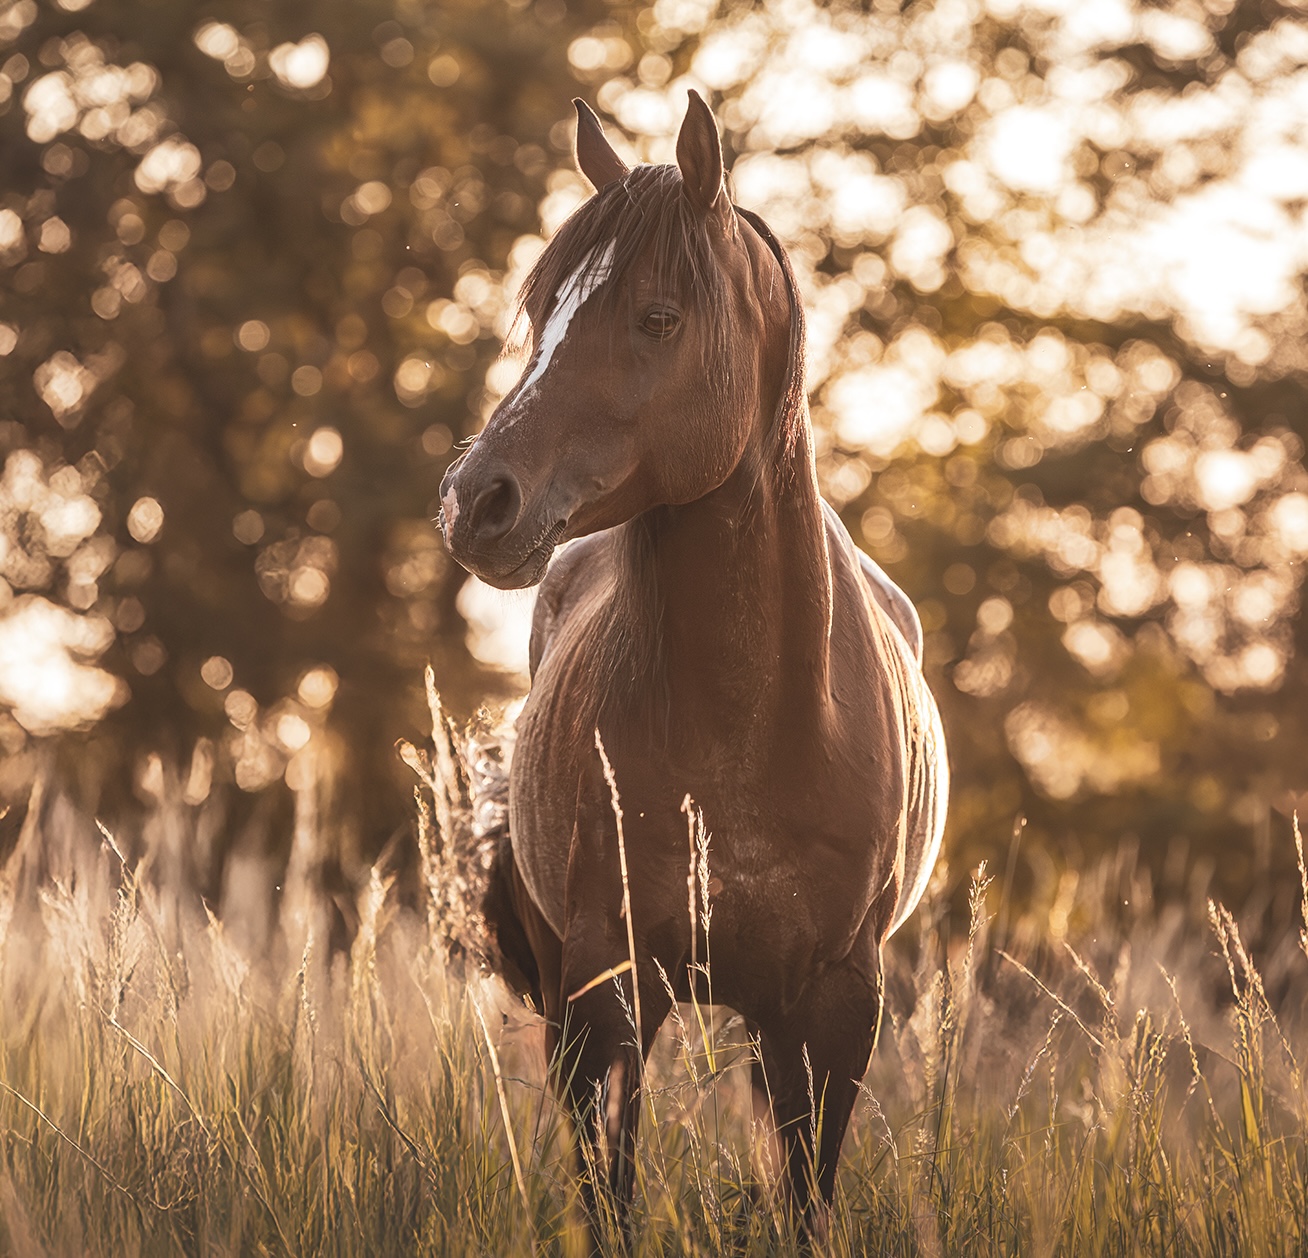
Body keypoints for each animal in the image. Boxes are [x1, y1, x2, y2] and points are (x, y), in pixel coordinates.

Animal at [439, 92, 948, 1239]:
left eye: (659, 317)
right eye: (543, 307)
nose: (475, 500)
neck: (750, 725)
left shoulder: (834, 1007)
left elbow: (804, 1198)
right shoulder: (607, 989)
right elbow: (610, 1197)